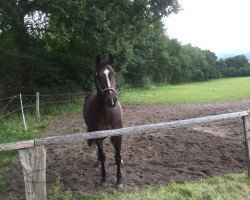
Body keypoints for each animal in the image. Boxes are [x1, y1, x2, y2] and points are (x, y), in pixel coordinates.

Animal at [83, 55, 123, 189]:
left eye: (113, 74)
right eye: (99, 76)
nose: (111, 100)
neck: (107, 113)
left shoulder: (118, 135)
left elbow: (117, 156)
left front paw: (119, 180)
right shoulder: (98, 137)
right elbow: (103, 156)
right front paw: (104, 179)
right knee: (100, 153)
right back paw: (97, 161)